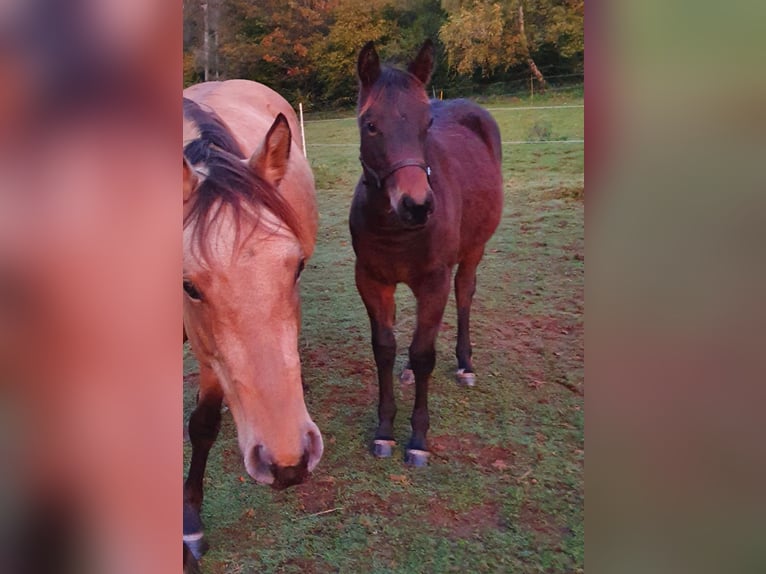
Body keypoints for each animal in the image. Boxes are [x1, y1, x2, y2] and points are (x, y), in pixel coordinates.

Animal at [352, 40, 508, 468]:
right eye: (370, 124)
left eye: (426, 126)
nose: (418, 206)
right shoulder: (371, 280)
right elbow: (385, 348)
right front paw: (384, 432)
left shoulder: (434, 280)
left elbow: (424, 354)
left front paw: (418, 439)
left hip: (472, 251)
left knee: (465, 294)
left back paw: (465, 365)